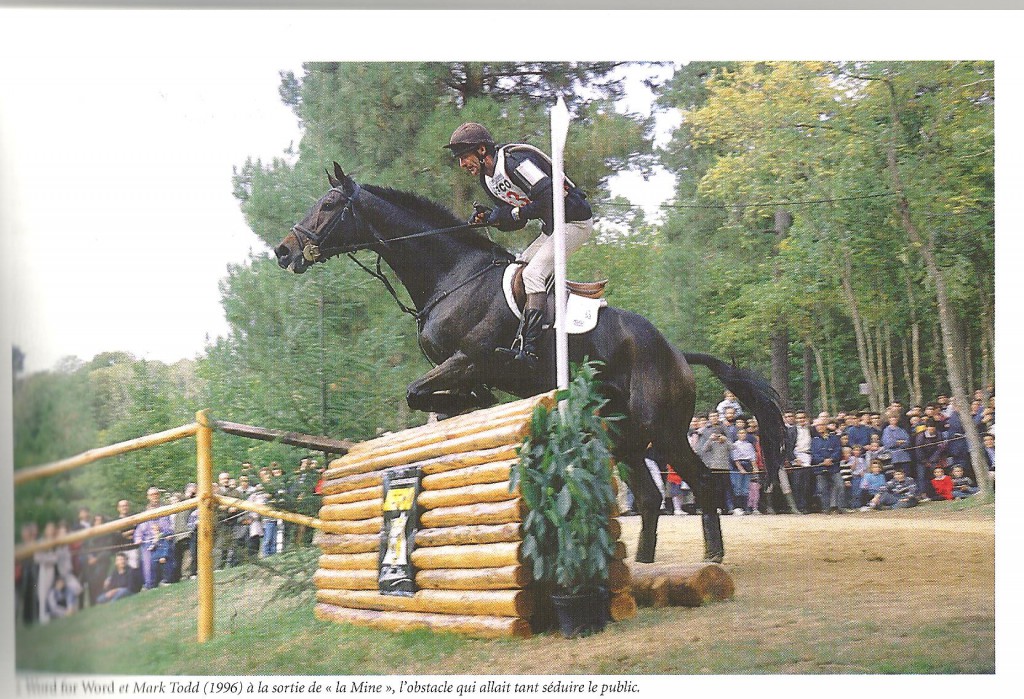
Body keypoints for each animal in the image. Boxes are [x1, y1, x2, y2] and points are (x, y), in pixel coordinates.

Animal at [272, 162, 782, 564]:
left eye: (328, 206)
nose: (284, 251)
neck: (451, 277)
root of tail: (676, 352)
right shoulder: (465, 369)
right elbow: (443, 398)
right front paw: (466, 411)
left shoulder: (468, 360)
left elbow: (419, 392)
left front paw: (464, 409)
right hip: (624, 434)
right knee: (651, 496)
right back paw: (645, 563)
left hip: (663, 429)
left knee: (701, 483)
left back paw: (712, 557)